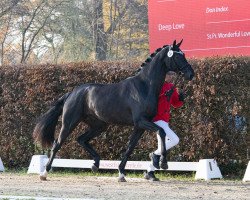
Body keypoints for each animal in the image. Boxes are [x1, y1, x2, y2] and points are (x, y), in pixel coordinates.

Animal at [33, 39, 194, 182]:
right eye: (178, 56)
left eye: (183, 54)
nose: (191, 74)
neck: (145, 86)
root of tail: (72, 93)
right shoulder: (141, 121)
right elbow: (161, 132)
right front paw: (163, 163)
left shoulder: (140, 126)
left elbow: (130, 148)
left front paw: (122, 173)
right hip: (69, 123)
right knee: (57, 144)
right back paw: (44, 173)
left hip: (99, 125)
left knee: (81, 139)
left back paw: (95, 164)